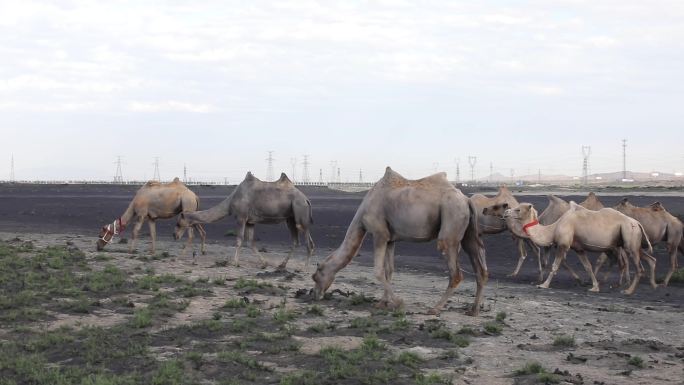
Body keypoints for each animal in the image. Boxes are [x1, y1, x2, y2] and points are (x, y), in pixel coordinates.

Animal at [176, 172, 316, 268]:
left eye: (178, 224)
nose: (174, 235)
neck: (230, 202)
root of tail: (306, 199)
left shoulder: (241, 217)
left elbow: (239, 240)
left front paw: (235, 262)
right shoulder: (250, 221)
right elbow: (250, 242)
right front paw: (264, 263)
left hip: (300, 210)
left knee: (308, 241)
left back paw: (303, 268)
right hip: (290, 218)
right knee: (296, 241)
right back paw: (282, 265)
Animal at [310, 167, 486, 316]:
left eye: (316, 276)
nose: (316, 295)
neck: (362, 214)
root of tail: (466, 200)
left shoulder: (379, 234)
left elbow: (378, 271)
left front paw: (399, 302)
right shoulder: (390, 239)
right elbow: (389, 271)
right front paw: (382, 303)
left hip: (451, 221)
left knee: (456, 273)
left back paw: (435, 308)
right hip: (468, 233)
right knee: (480, 268)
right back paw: (474, 310)